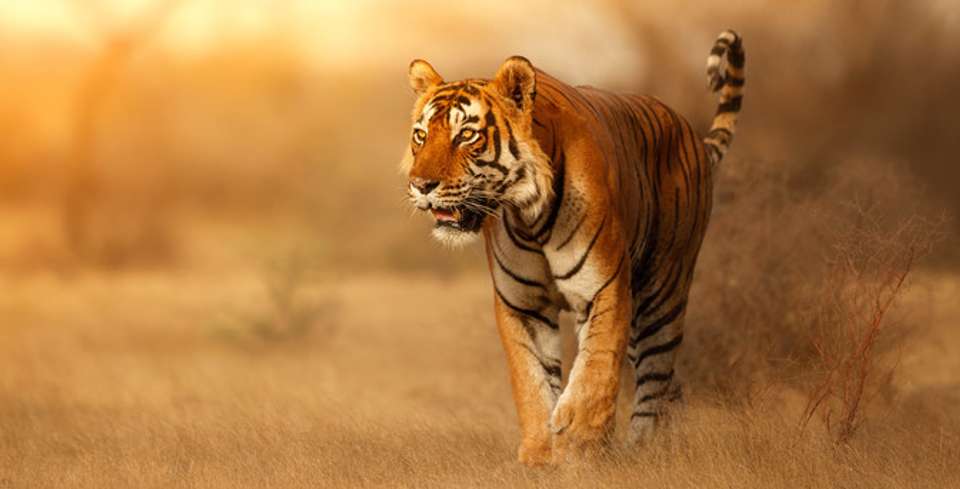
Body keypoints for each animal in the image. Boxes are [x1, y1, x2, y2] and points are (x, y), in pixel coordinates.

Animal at [401, 30, 745, 465]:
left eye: (466, 135)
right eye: (421, 135)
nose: (420, 185)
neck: (529, 215)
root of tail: (692, 135)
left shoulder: (604, 288)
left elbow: (595, 369)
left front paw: (579, 442)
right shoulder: (523, 305)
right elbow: (530, 380)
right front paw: (539, 454)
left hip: (662, 293)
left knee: (655, 377)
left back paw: (643, 450)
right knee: (670, 384)